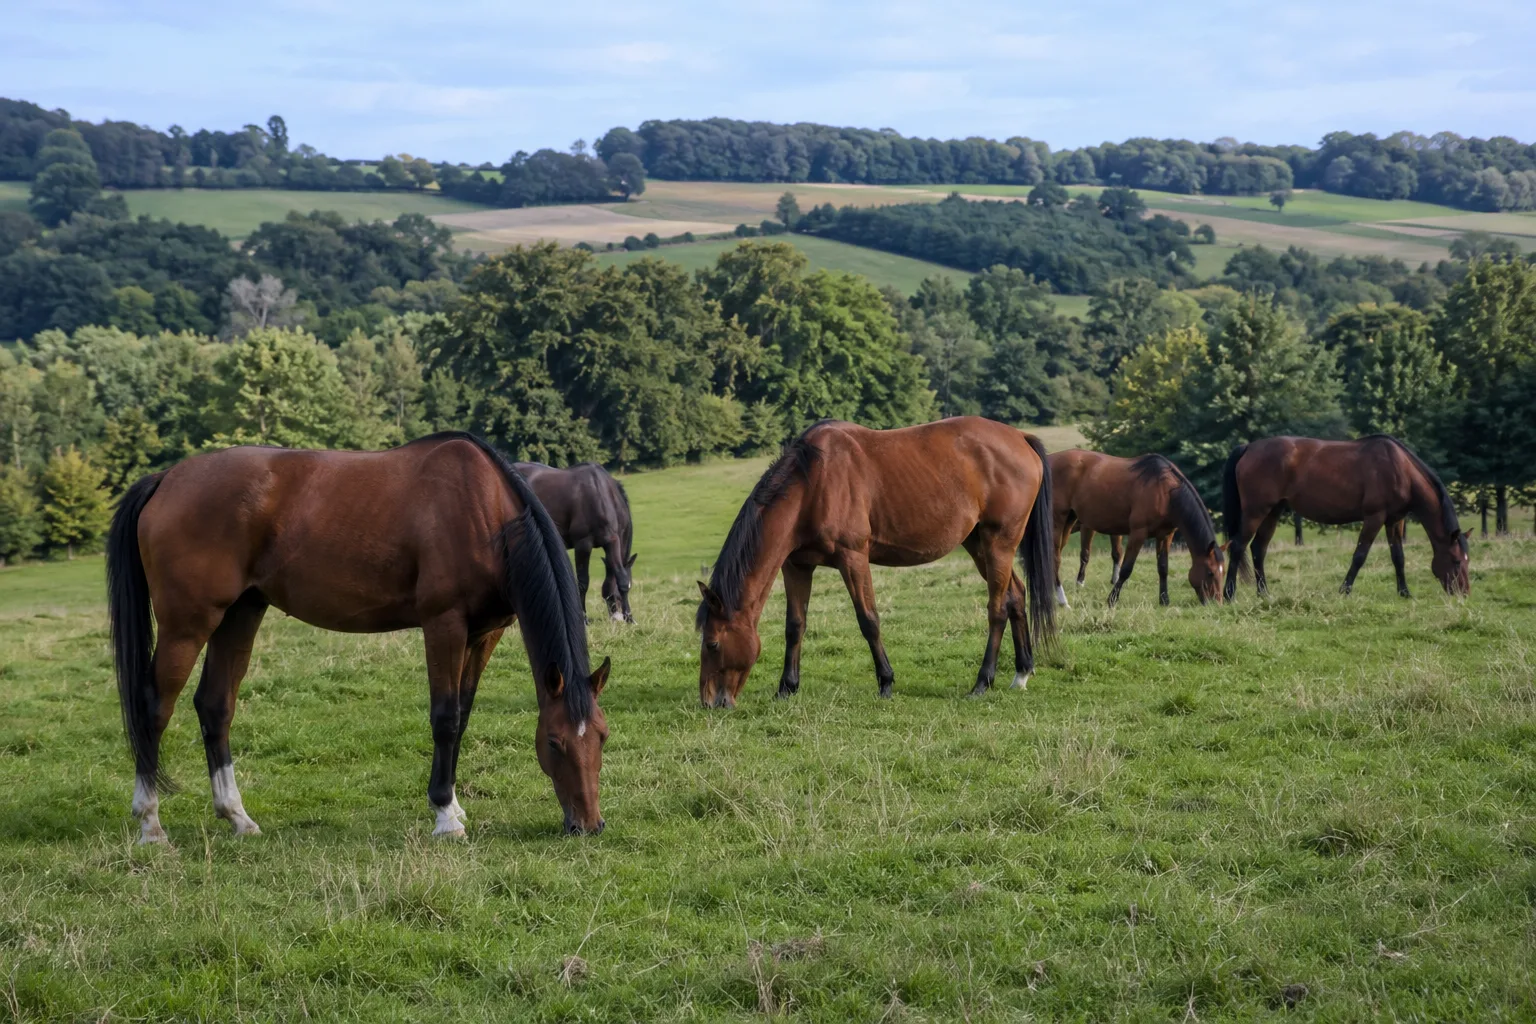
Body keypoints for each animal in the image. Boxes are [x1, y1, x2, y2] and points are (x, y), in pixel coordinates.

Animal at [106, 432, 611, 845]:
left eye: (603, 737)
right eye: (553, 743)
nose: (588, 825)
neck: (483, 512)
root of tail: (167, 478)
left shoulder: (484, 634)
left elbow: (463, 716)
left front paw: (453, 802)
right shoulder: (444, 625)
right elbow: (445, 718)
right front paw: (445, 816)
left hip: (239, 614)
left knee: (215, 706)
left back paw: (237, 817)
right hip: (188, 624)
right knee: (154, 709)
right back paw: (150, 823)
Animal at [516, 461, 638, 623]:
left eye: (631, 585)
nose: (616, 618)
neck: (602, 495)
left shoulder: (612, 541)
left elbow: (620, 576)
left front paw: (630, 618)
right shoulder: (584, 544)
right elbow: (583, 582)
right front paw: (584, 618)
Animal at [695, 417, 1056, 708]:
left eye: (712, 643)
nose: (711, 702)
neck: (813, 482)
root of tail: (1020, 437)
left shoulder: (853, 558)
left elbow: (868, 620)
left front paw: (885, 682)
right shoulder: (796, 566)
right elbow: (794, 626)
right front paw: (786, 688)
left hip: (999, 543)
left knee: (997, 608)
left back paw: (982, 682)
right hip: (978, 543)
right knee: (1015, 596)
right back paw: (1022, 672)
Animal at [1048, 450, 1225, 608]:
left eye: (1223, 572)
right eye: (1210, 572)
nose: (1217, 603)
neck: (1165, 492)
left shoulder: (1165, 535)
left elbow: (1163, 567)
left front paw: (1164, 600)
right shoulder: (1138, 533)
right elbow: (1126, 568)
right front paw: (1112, 600)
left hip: (1068, 522)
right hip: (1058, 522)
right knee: (1054, 558)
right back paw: (1062, 600)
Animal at [1221, 435, 1470, 600]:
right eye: (1457, 560)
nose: (1464, 593)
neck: (1400, 470)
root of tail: (1249, 447)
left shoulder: (1395, 520)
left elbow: (1398, 556)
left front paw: (1404, 592)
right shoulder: (1374, 517)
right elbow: (1359, 555)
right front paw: (1345, 590)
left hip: (1273, 511)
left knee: (1258, 549)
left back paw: (1264, 594)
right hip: (1255, 511)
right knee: (1238, 546)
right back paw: (1229, 594)